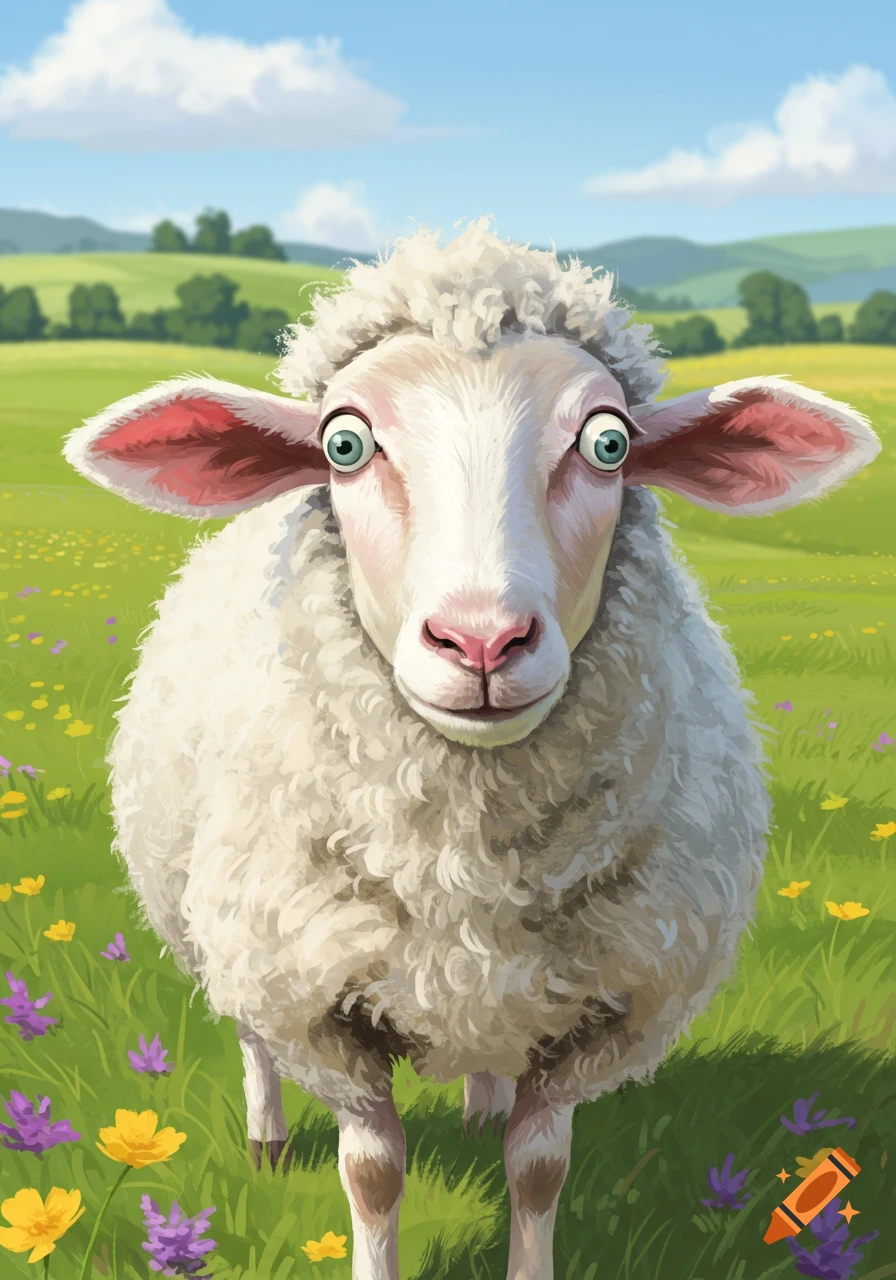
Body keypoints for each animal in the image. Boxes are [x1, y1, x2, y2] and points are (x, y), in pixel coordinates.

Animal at [62, 219, 880, 1280]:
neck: (470, 864)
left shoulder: (605, 1010)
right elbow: (373, 1174)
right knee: (248, 1034)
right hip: (232, 926)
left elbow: (537, 1172)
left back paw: (478, 1102)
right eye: (344, 444)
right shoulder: (318, 1001)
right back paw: (268, 1136)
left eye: (610, 443)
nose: (483, 641)